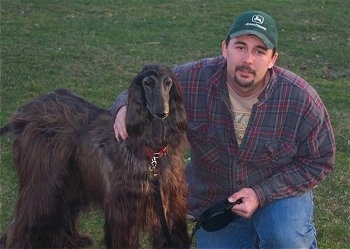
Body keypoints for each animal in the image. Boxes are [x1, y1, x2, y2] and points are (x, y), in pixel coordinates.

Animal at [0, 64, 191, 249]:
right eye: (148, 83)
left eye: (168, 83)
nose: (162, 112)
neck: (152, 152)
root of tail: (25, 112)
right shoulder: (123, 208)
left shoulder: (169, 202)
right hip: (44, 180)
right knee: (27, 217)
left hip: (70, 179)